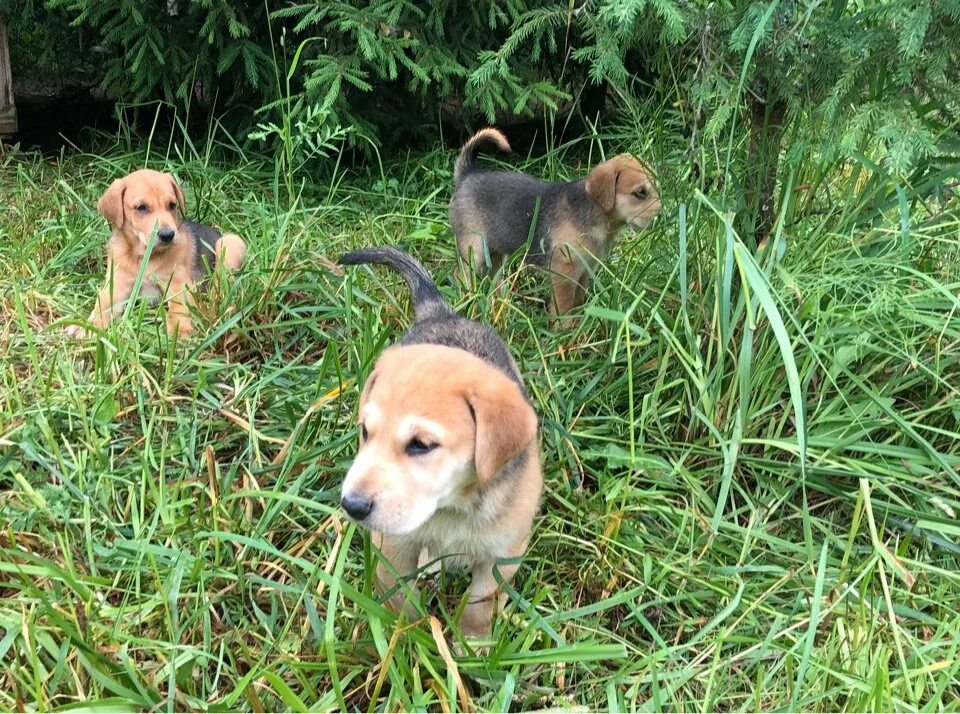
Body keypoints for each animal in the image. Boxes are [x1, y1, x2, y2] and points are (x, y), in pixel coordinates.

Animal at [66, 171, 248, 340]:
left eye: (172, 205)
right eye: (141, 207)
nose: (168, 235)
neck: (145, 256)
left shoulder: (177, 284)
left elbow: (178, 309)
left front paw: (180, 331)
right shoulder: (116, 286)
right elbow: (101, 307)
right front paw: (85, 327)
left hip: (229, 242)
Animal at [338, 248, 540, 636]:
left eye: (421, 444)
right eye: (365, 432)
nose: (351, 506)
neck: (452, 509)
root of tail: (442, 313)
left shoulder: (502, 557)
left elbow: (479, 607)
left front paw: (473, 642)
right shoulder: (393, 547)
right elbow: (402, 601)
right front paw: (410, 636)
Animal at [448, 127, 660, 314]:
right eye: (640, 193)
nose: (661, 217)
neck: (595, 216)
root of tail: (468, 174)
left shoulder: (585, 271)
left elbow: (577, 301)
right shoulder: (564, 273)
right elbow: (564, 307)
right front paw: (564, 330)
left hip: (495, 253)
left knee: (492, 278)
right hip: (473, 249)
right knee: (460, 276)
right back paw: (466, 301)